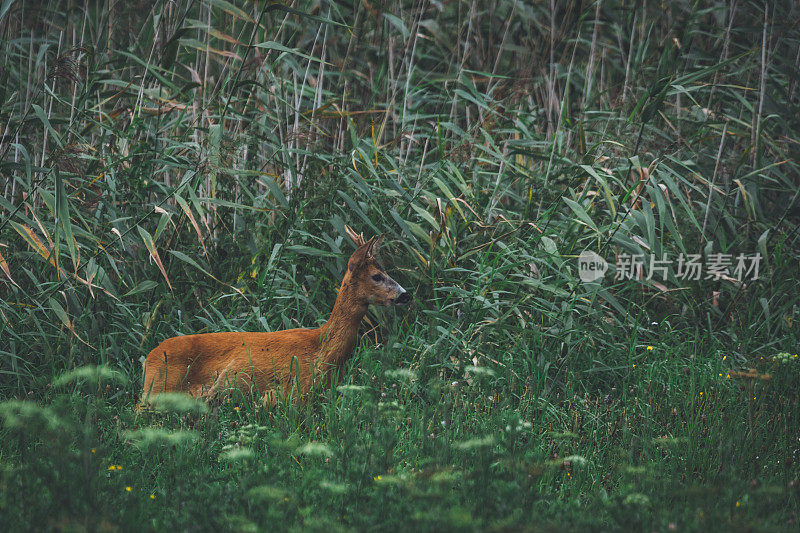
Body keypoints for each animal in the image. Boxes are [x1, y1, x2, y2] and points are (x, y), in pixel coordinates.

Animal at [140, 227, 410, 406]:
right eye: (377, 276)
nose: (405, 295)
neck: (323, 351)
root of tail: (150, 358)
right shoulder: (293, 392)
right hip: (159, 388)